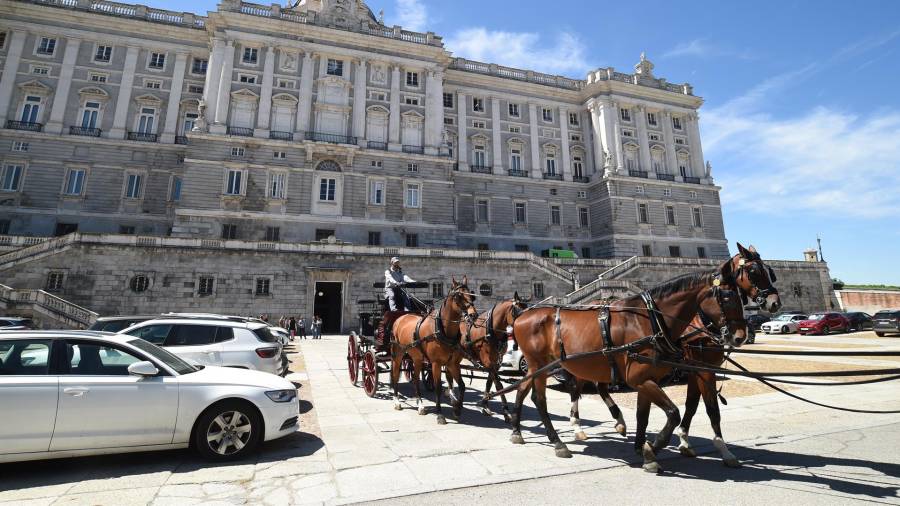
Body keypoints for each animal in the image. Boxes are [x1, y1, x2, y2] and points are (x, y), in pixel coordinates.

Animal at [390, 276, 482, 422]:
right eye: (458, 296)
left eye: (471, 295)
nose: (473, 315)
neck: (443, 330)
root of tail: (401, 317)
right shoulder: (436, 363)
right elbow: (438, 386)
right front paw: (439, 413)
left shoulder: (453, 364)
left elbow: (462, 386)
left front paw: (457, 409)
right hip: (398, 354)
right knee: (394, 374)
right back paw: (397, 401)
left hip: (417, 358)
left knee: (415, 379)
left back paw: (420, 404)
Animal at [510, 258, 748, 472]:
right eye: (728, 296)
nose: (740, 336)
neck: (650, 319)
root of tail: (522, 314)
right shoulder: (641, 378)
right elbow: (674, 413)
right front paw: (652, 448)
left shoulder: (647, 380)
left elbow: (643, 415)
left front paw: (642, 448)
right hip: (538, 364)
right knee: (540, 399)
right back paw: (558, 442)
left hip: (544, 367)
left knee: (525, 390)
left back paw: (517, 431)